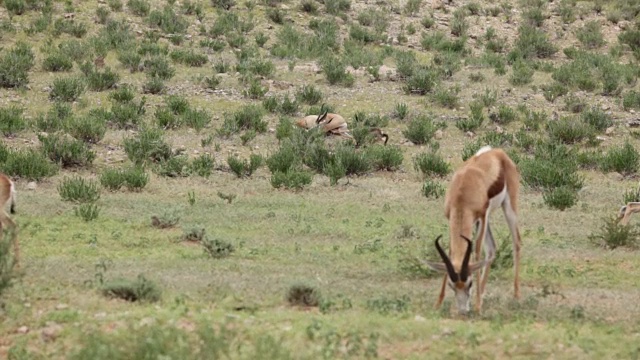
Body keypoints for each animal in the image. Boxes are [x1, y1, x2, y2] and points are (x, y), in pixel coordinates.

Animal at [424, 146, 520, 316]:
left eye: (469, 283)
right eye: (451, 285)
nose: (463, 310)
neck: (463, 191)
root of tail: (497, 152)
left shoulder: (481, 216)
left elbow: (476, 253)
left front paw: (477, 306)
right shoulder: (451, 218)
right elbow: (451, 252)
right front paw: (438, 303)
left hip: (508, 208)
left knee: (516, 242)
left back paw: (515, 296)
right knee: (492, 249)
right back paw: (481, 293)